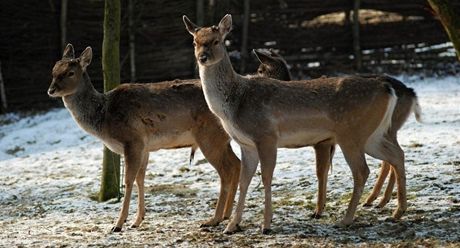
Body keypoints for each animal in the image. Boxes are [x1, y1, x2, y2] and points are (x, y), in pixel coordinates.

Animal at [253, 49, 422, 214]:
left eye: (260, 70)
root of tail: (411, 93)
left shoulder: (322, 142)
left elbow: (320, 171)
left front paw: (318, 210)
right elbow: (326, 169)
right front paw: (322, 206)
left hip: (386, 128)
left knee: (390, 158)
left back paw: (378, 201)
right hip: (385, 130)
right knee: (394, 156)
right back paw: (379, 201)